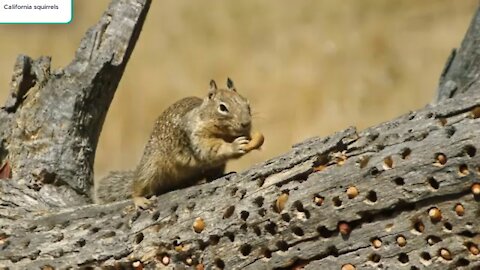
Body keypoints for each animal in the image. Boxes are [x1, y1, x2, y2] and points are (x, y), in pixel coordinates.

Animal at [93, 78, 262, 209]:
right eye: (222, 107)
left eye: (247, 103)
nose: (246, 123)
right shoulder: (196, 137)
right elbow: (210, 149)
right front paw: (235, 146)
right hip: (151, 167)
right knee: (138, 185)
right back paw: (140, 200)